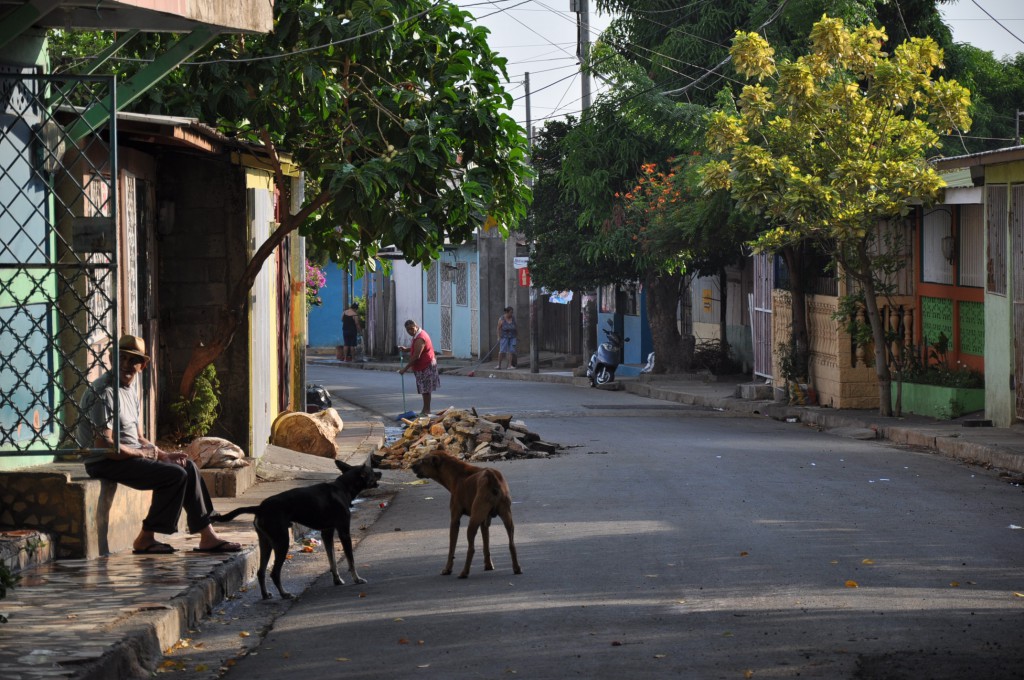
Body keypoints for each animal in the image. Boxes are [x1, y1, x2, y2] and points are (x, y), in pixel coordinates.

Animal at [214, 458, 382, 598]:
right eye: (372, 472)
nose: (380, 472)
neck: (342, 488)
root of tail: (260, 508)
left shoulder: (327, 533)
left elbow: (332, 560)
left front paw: (337, 579)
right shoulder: (344, 532)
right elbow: (350, 560)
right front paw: (357, 579)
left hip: (266, 542)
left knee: (261, 572)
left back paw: (266, 595)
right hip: (282, 542)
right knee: (274, 573)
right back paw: (284, 594)